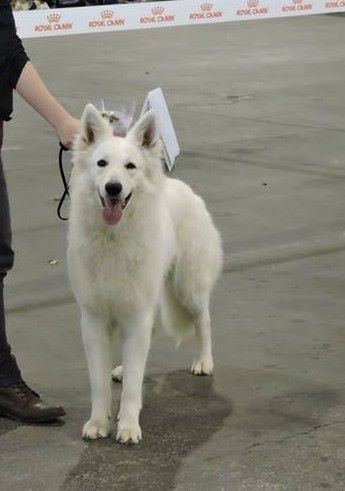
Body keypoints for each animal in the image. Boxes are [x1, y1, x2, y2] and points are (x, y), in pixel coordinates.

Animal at [68, 104, 222, 446]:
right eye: (101, 163)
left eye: (130, 166)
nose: (113, 188)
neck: (113, 238)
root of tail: (183, 188)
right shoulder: (94, 320)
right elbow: (98, 382)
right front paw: (98, 422)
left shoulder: (136, 313)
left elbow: (133, 388)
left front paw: (127, 427)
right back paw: (122, 368)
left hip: (187, 288)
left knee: (204, 319)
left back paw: (203, 361)